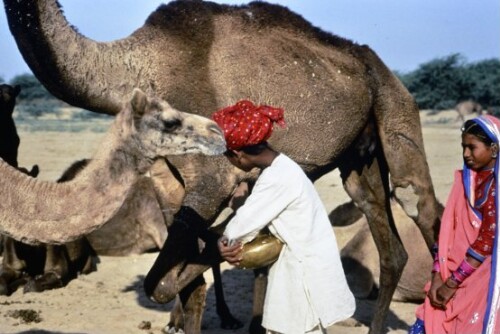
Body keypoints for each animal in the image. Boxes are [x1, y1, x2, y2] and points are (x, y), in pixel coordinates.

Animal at [2, 1, 442, 332]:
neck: (133, 67)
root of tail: (377, 65)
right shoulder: (167, 182)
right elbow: (185, 286)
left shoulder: (210, 180)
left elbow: (164, 281)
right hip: (358, 155)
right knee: (386, 238)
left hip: (395, 105)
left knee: (418, 201)